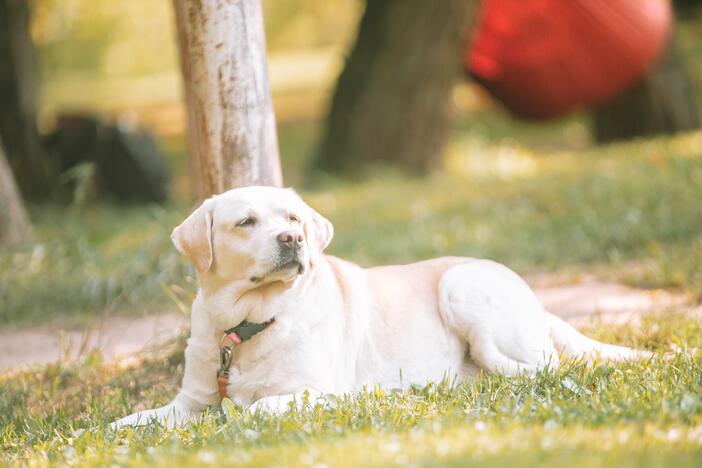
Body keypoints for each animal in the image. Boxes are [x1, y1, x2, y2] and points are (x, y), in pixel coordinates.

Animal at [114, 186, 648, 428]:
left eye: (292, 218)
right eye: (245, 222)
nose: (293, 239)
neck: (246, 324)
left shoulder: (322, 391)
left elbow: (259, 407)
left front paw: (242, 414)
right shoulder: (189, 402)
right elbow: (134, 420)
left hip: (462, 285)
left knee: (542, 366)